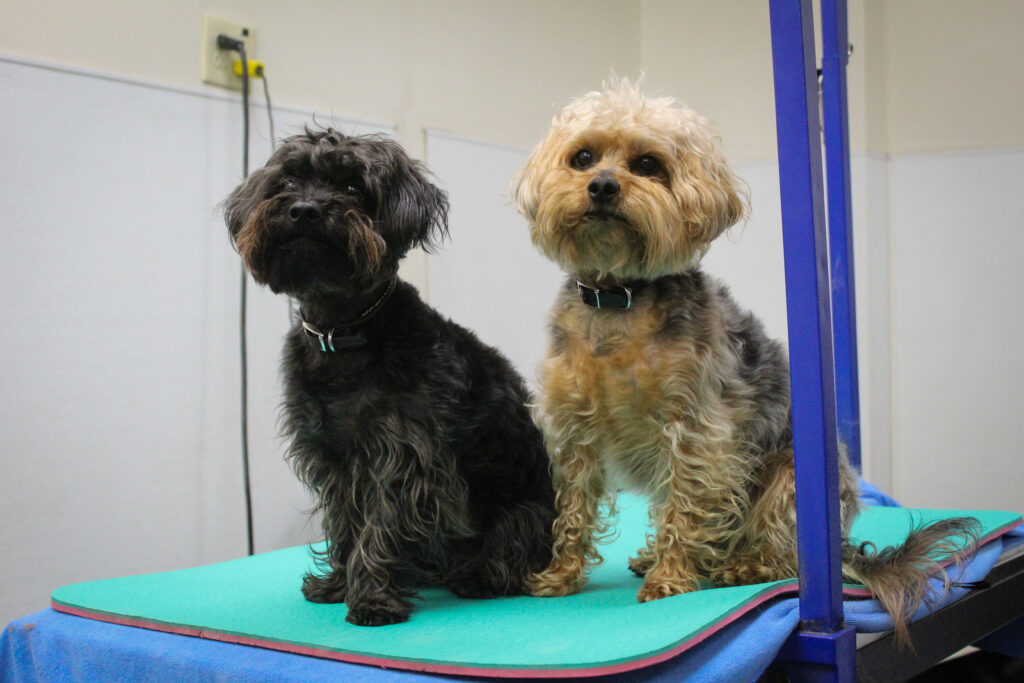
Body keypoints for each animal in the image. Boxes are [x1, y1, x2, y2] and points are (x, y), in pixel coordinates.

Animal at [223, 128, 555, 626]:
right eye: (287, 182)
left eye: (353, 187)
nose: (305, 209)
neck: (340, 332)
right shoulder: (334, 459)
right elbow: (346, 523)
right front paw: (338, 586)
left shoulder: (403, 456)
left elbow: (379, 525)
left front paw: (372, 599)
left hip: (526, 514)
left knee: (512, 557)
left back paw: (476, 576)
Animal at [511, 80, 977, 644]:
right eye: (582, 158)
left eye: (647, 164)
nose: (601, 185)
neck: (619, 299)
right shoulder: (573, 429)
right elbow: (574, 509)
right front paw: (560, 574)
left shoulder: (694, 430)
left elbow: (685, 504)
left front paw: (670, 579)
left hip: (792, 480)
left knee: (782, 551)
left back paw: (743, 564)